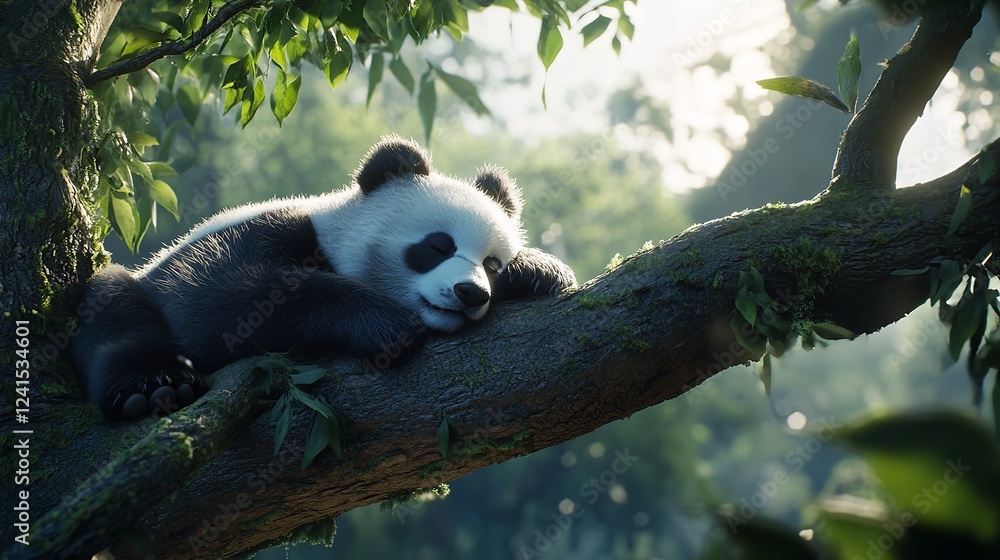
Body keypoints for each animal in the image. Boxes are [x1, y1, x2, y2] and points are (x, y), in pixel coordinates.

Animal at [72, 137, 576, 421]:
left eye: (492, 263)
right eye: (437, 246)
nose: (471, 293)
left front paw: (540, 271)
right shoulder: (260, 233)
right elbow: (215, 303)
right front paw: (385, 327)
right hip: (135, 288)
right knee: (118, 310)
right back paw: (152, 388)